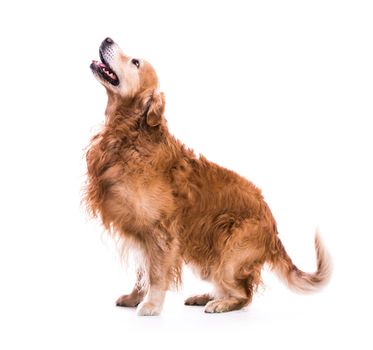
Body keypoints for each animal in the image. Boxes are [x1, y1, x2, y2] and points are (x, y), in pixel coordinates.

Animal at [85, 37, 332, 316]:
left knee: (244, 294)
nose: (107, 39)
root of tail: (273, 229)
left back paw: (220, 303)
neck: (129, 134)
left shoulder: (161, 231)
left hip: (228, 253)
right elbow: (142, 271)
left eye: (135, 62)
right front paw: (134, 297)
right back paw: (205, 296)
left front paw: (151, 305)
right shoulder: (139, 231)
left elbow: (156, 274)